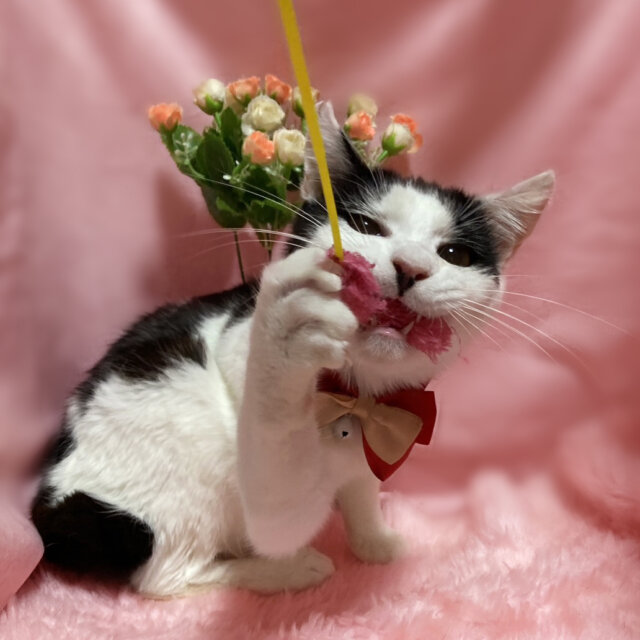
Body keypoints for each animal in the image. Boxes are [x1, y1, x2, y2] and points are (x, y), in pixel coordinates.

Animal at [31, 103, 554, 597]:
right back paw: (285, 570)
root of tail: (53, 498)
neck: (357, 398)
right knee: (165, 577)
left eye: (454, 255)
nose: (410, 267)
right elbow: (278, 506)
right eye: (365, 225)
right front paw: (284, 339)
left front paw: (373, 540)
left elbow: (361, 487)